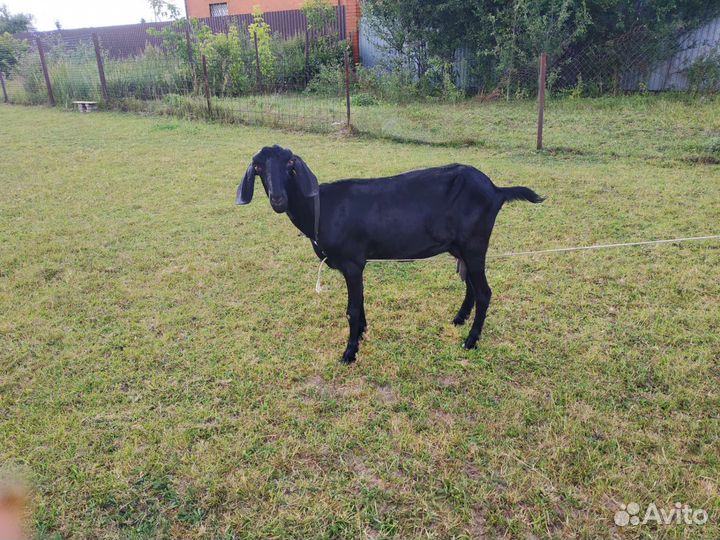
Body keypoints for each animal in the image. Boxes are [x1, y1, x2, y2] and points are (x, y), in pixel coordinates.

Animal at [237, 145, 544, 363]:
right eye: (258, 166)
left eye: (290, 164)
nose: (278, 199)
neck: (321, 209)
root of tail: (496, 190)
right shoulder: (357, 265)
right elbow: (360, 303)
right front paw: (362, 333)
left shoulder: (352, 262)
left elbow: (352, 309)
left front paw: (349, 353)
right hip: (461, 247)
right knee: (470, 283)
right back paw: (459, 320)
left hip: (475, 244)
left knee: (485, 292)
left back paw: (470, 340)